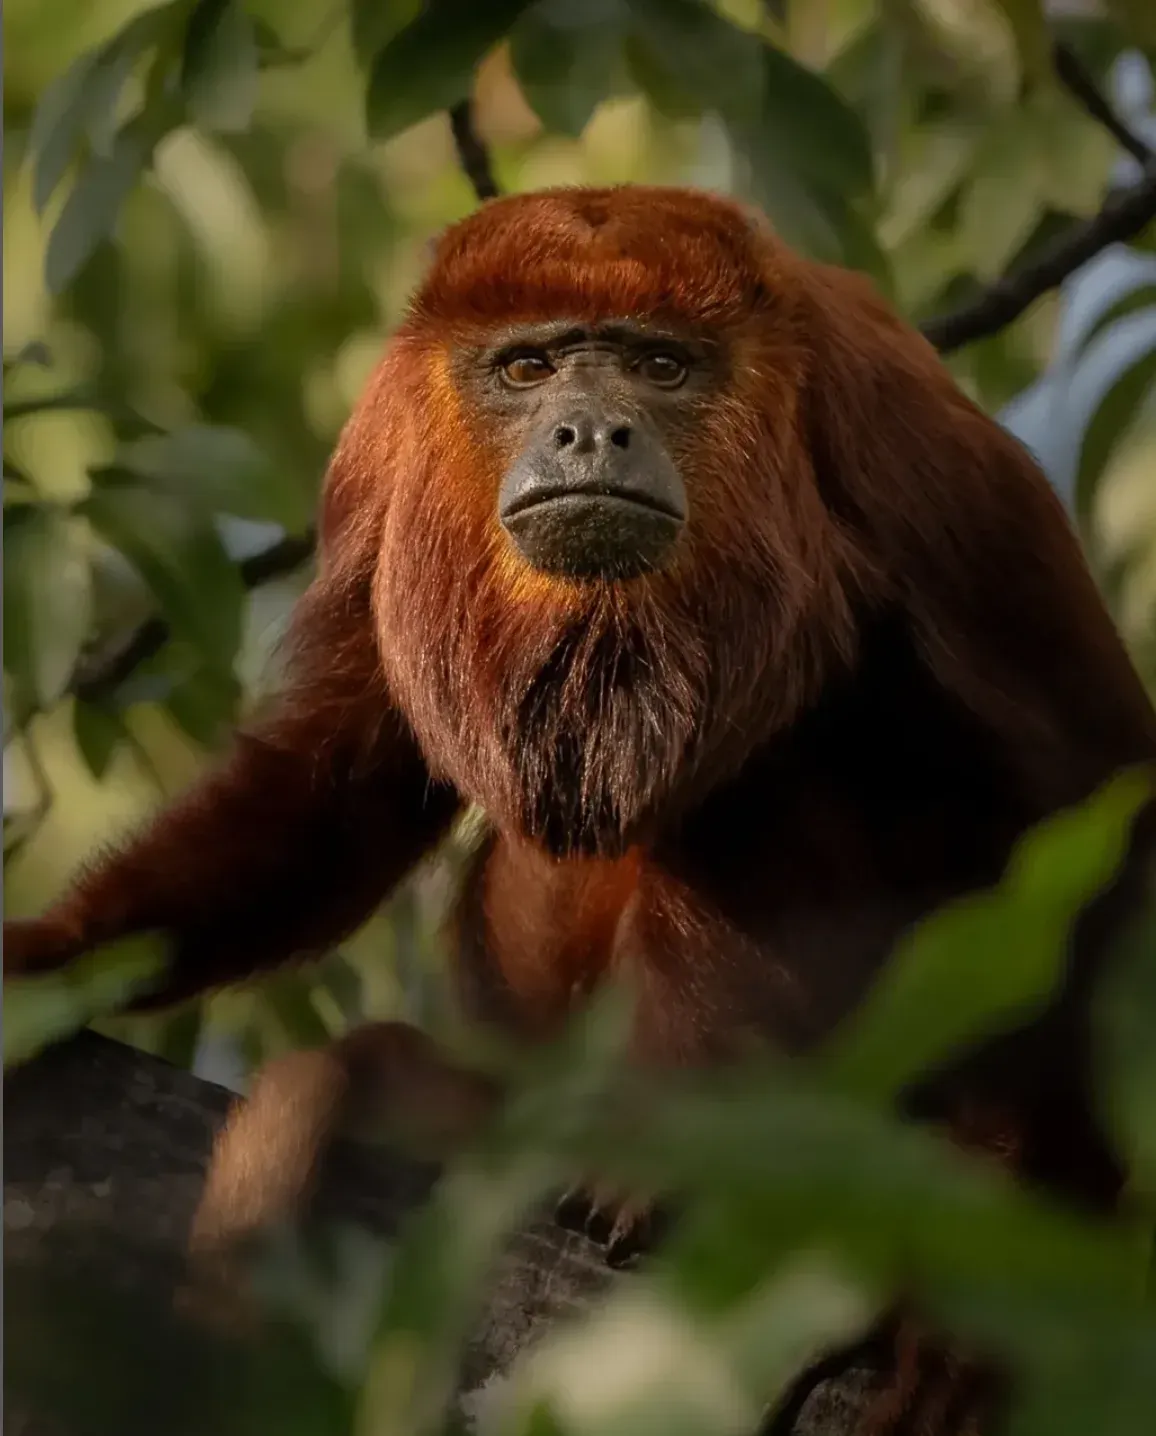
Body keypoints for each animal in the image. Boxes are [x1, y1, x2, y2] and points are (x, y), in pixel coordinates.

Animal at [6, 185, 1156, 1430]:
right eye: (529, 366)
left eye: (659, 365)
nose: (588, 432)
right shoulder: (382, 451)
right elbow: (335, 774)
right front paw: (55, 955)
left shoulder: (912, 456)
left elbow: (1092, 804)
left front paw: (968, 1315)